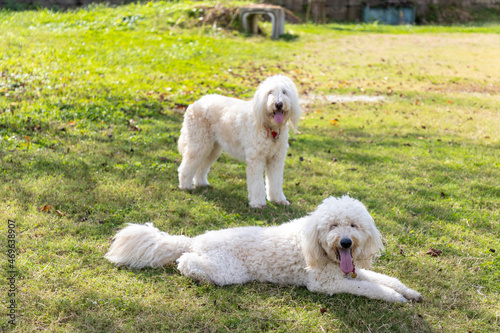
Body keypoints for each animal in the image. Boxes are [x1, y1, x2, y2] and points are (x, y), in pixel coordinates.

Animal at [105, 196, 422, 302]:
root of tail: (195, 239)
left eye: (353, 225)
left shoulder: (348, 273)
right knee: (185, 262)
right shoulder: (324, 283)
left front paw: (408, 291)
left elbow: (384, 279)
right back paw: (199, 276)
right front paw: (395, 298)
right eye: (333, 225)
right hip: (227, 270)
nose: (345, 242)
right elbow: (370, 288)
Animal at [176, 74, 300, 208]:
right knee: (186, 166)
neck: (269, 128)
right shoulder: (256, 159)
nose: (278, 104)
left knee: (201, 166)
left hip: (212, 148)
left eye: (284, 92)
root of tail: (195, 103)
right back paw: (185, 186)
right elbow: (256, 183)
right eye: (270, 92)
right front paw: (258, 203)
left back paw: (201, 183)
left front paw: (278, 199)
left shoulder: (276, 159)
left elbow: (275, 181)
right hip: (199, 144)